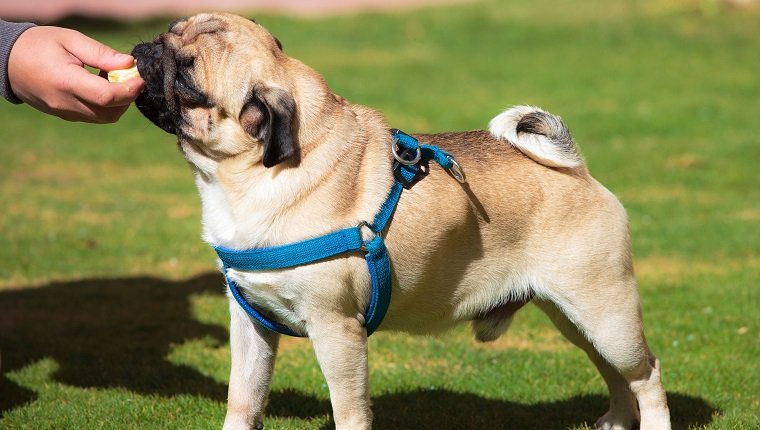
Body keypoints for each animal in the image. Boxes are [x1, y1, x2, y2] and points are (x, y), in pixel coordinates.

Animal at [131, 11, 672, 428]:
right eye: (170, 31)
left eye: (187, 79)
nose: (146, 49)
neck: (244, 179)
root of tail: (576, 168)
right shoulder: (250, 324)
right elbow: (243, 400)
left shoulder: (336, 330)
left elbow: (349, 410)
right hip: (574, 316)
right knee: (613, 372)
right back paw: (617, 419)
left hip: (605, 311)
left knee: (645, 373)